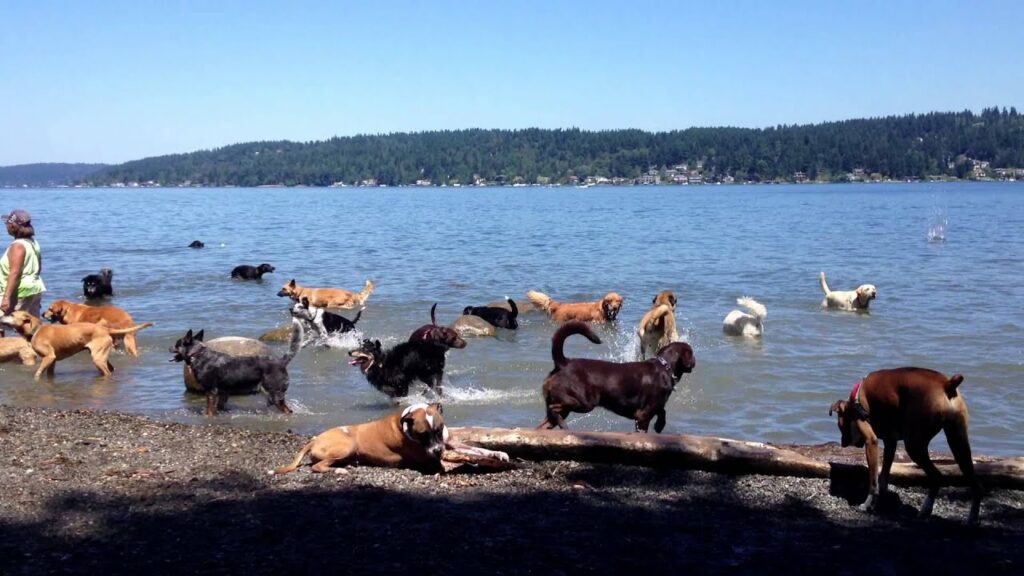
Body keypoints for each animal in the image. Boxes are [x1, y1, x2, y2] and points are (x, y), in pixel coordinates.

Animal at [0, 309, 152, 377]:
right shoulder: (52, 361)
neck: (35, 330)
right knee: (111, 368)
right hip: (101, 355)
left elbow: (37, 373)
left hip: (97, 358)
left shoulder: (49, 357)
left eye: (12, 314)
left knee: (107, 372)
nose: (1, 316)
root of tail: (105, 329)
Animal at [276, 401, 507, 473]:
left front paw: (497, 453)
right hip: (347, 445)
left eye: (439, 429)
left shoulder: (448, 442)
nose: (437, 450)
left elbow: (475, 448)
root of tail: (314, 439)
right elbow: (467, 455)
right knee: (317, 466)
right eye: (422, 435)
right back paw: (339, 470)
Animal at [536, 317, 696, 430]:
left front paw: (659, 426)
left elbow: (662, 411)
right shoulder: (643, 415)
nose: (694, 362)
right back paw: (563, 424)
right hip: (584, 401)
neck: (665, 367)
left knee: (545, 423)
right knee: (555, 408)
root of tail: (564, 363)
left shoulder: (654, 407)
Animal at [827, 364, 978, 522]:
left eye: (840, 426)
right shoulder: (890, 443)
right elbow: (884, 476)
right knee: (976, 484)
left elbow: (873, 480)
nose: (842, 442)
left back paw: (925, 510)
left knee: (937, 477)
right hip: (959, 443)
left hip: (914, 446)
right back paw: (972, 518)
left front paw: (867, 504)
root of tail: (947, 383)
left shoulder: (871, 441)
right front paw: (880, 503)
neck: (855, 401)